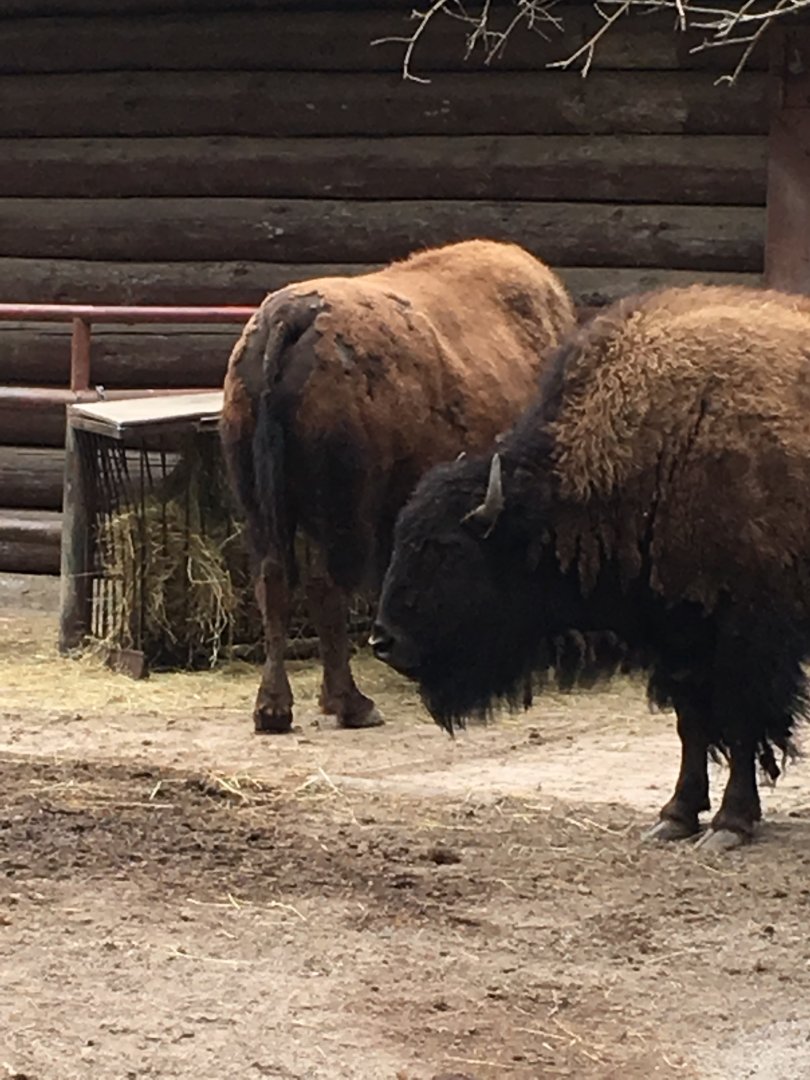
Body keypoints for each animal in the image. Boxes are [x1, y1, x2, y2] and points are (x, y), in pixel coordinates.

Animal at [220, 239, 575, 733]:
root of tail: (289, 317)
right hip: (342, 510)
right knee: (325, 585)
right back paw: (352, 705)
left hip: (261, 504)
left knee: (273, 581)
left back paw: (274, 710)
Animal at [372, 285, 810, 851]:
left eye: (448, 550)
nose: (383, 640)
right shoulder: (675, 634)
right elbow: (691, 723)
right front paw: (674, 817)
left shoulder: (745, 633)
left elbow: (740, 722)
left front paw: (730, 824)